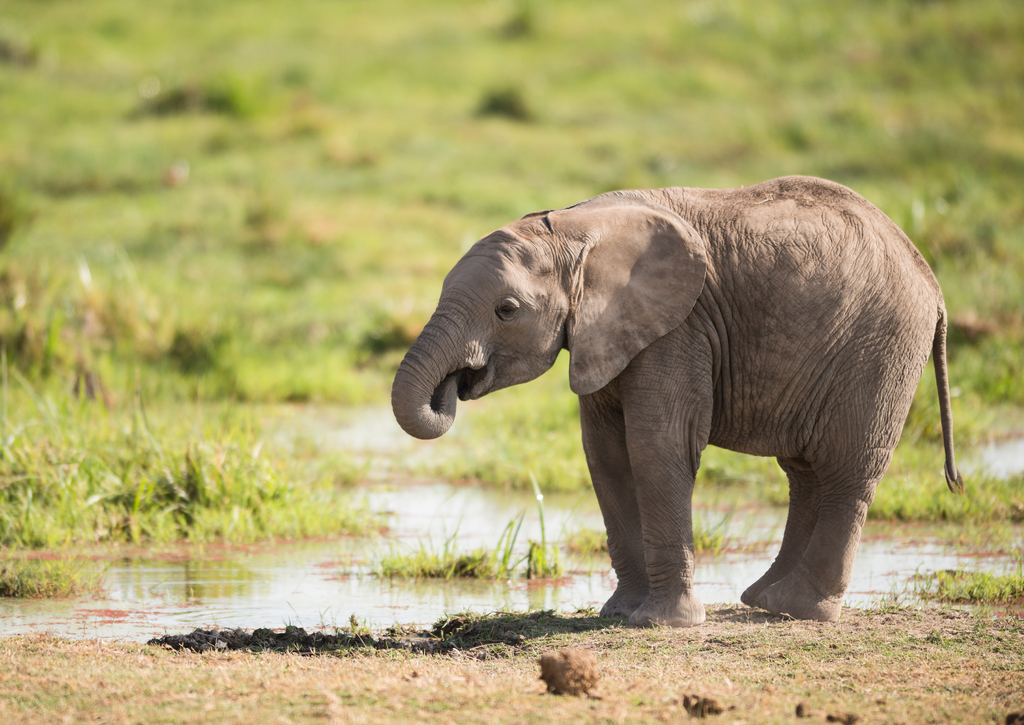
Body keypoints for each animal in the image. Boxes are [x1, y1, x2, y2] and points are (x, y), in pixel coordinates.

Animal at [391, 175, 963, 626]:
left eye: (506, 310)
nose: (454, 385)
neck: (576, 227)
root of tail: (933, 282)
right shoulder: (611, 330)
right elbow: (606, 456)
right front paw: (620, 613)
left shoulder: (678, 327)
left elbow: (656, 446)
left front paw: (663, 623)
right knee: (805, 474)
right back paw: (766, 601)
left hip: (880, 350)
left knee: (847, 471)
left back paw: (800, 610)